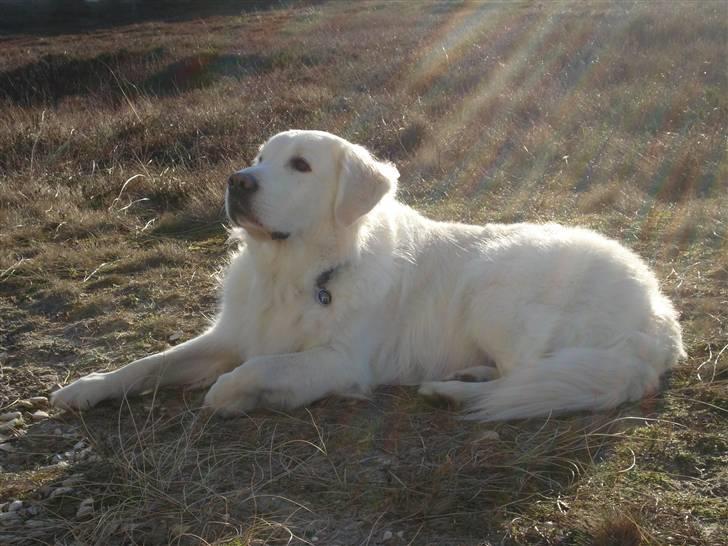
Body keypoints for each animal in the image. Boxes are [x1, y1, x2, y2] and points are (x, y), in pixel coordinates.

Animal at [49, 130, 684, 418]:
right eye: (259, 158)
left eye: (300, 165)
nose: (237, 181)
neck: (297, 272)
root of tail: (659, 312)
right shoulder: (229, 333)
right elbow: (150, 363)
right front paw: (85, 387)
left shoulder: (339, 361)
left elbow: (248, 371)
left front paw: (228, 397)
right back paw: (466, 377)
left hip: (495, 290)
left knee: (530, 377)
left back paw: (453, 390)